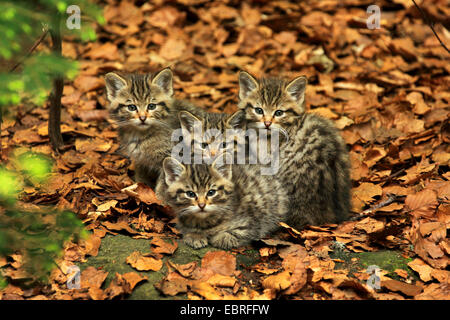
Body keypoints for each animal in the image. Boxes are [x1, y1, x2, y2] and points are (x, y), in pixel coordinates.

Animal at [155, 154, 288, 249]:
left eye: (211, 192)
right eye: (190, 194)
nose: (202, 205)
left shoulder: (253, 221)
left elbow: (241, 232)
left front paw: (221, 238)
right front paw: (194, 235)